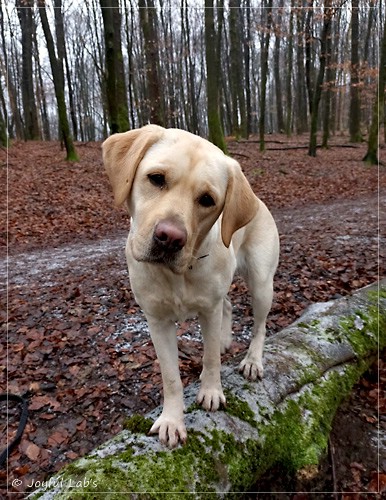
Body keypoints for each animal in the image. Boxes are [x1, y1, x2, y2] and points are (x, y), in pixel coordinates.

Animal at [102, 125, 278, 450]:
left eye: (207, 199)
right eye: (156, 178)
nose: (169, 237)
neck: (179, 274)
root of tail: (259, 200)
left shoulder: (207, 311)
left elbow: (210, 358)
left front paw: (211, 392)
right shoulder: (157, 320)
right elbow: (171, 376)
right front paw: (172, 420)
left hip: (261, 283)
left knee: (260, 325)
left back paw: (252, 360)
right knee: (228, 304)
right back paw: (225, 340)